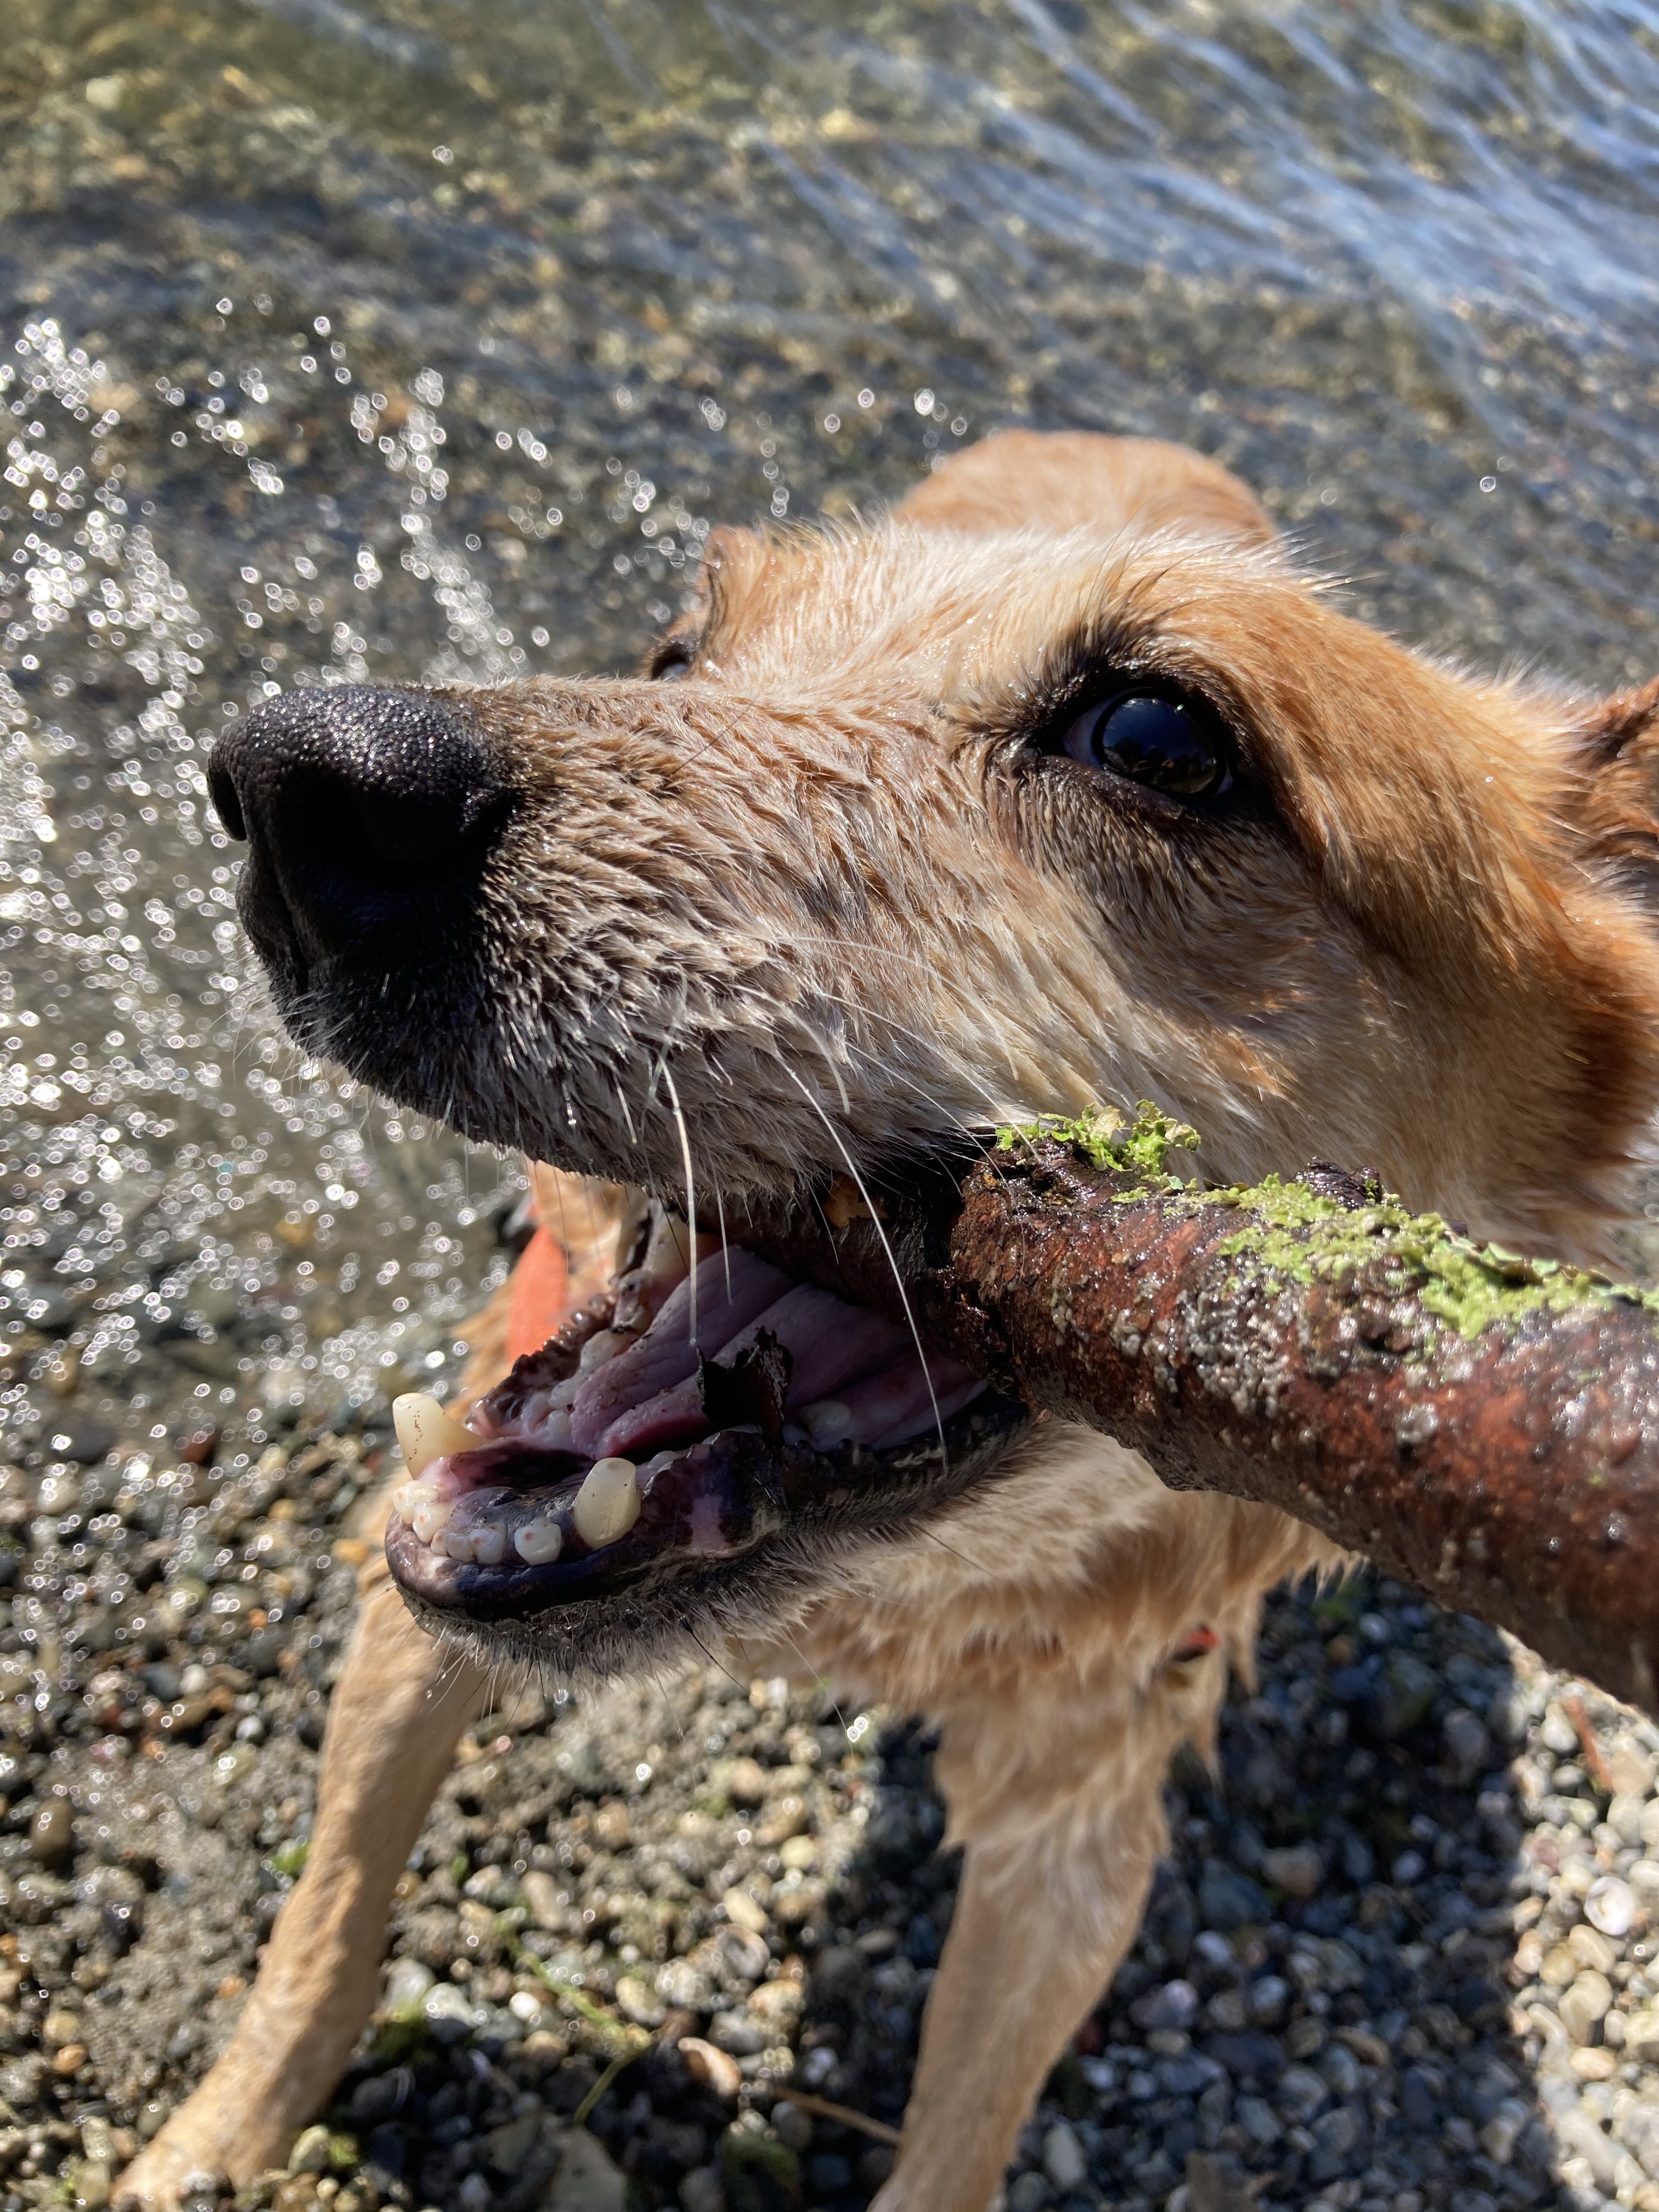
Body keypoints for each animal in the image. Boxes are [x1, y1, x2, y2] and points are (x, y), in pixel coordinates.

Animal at [114, 431, 1659, 2212]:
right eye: (673, 660)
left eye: (1159, 738)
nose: (306, 784)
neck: (874, 1607)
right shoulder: (405, 1605)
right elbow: (329, 1914)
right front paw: (213, 2146)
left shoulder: (1077, 1835)